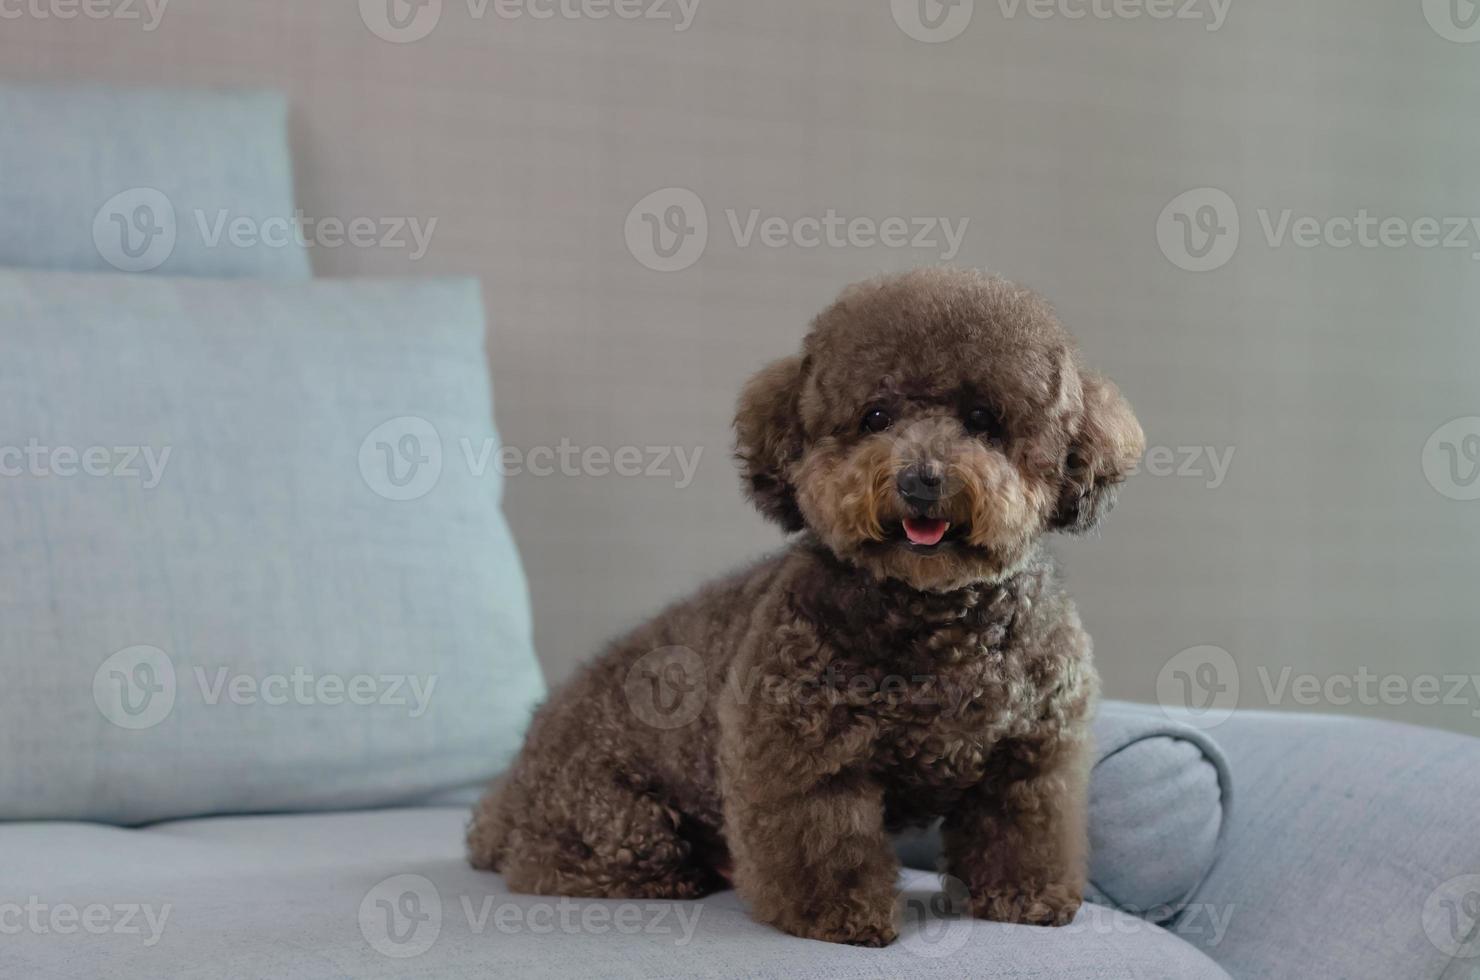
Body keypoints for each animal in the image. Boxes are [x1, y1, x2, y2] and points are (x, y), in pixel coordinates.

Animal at [467, 269, 1136, 953]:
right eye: (875, 416)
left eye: (982, 419)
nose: (921, 479)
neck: (932, 617)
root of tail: (507, 790)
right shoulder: (802, 756)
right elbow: (826, 843)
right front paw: (839, 916)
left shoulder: (1033, 756)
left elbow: (1023, 832)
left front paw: (1027, 897)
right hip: (619, 818)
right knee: (549, 861)